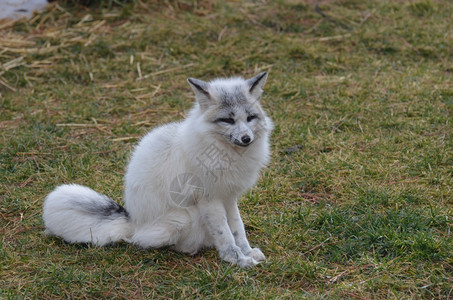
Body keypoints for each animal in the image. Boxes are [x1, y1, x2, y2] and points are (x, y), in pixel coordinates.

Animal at [43, 72, 272, 268]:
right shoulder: (209, 199)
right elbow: (224, 232)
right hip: (184, 218)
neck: (226, 154)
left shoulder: (228, 196)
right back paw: (187, 249)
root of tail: (133, 221)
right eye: (228, 120)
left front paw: (247, 252)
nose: (246, 138)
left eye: (250, 118)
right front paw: (236, 259)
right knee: (144, 241)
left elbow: (237, 227)